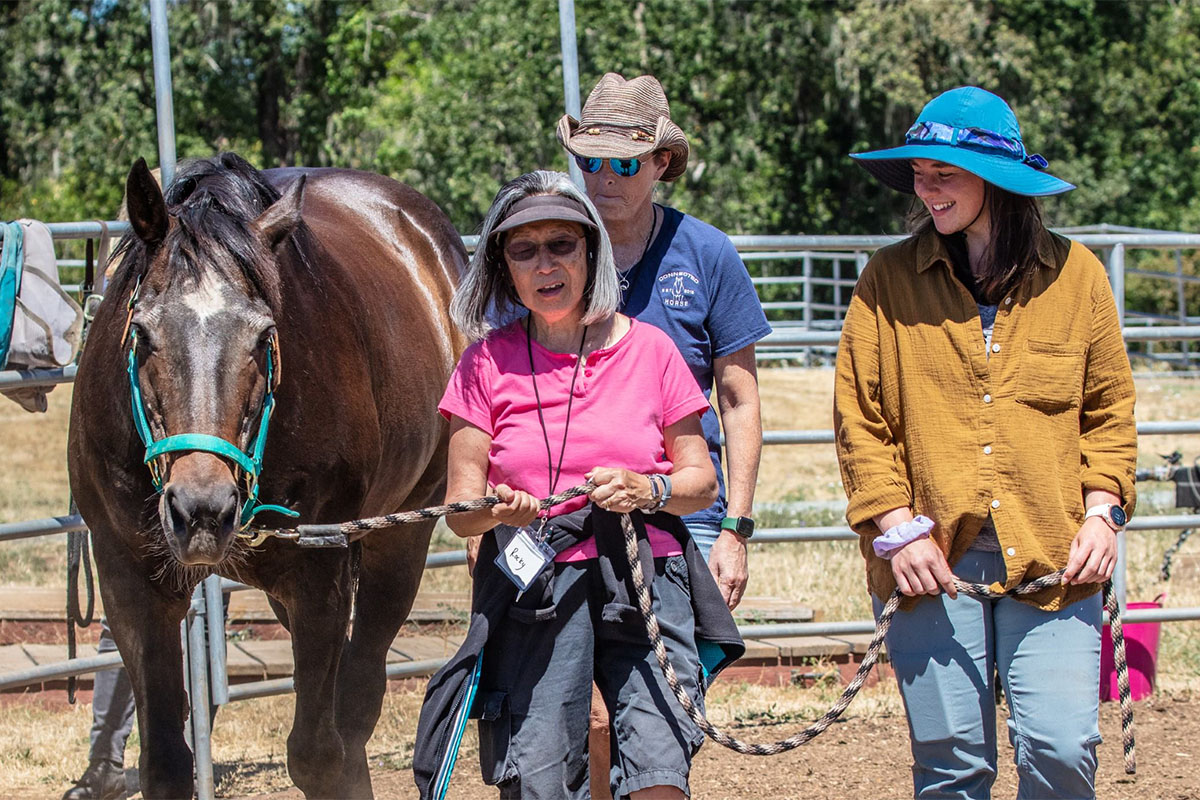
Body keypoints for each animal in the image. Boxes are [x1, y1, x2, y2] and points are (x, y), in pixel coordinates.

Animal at [64, 153, 468, 796]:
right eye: (143, 332)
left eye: (265, 335)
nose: (202, 510)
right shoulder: (130, 581)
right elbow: (164, 762)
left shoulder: (319, 574)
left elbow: (318, 753)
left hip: (399, 541)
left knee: (356, 706)